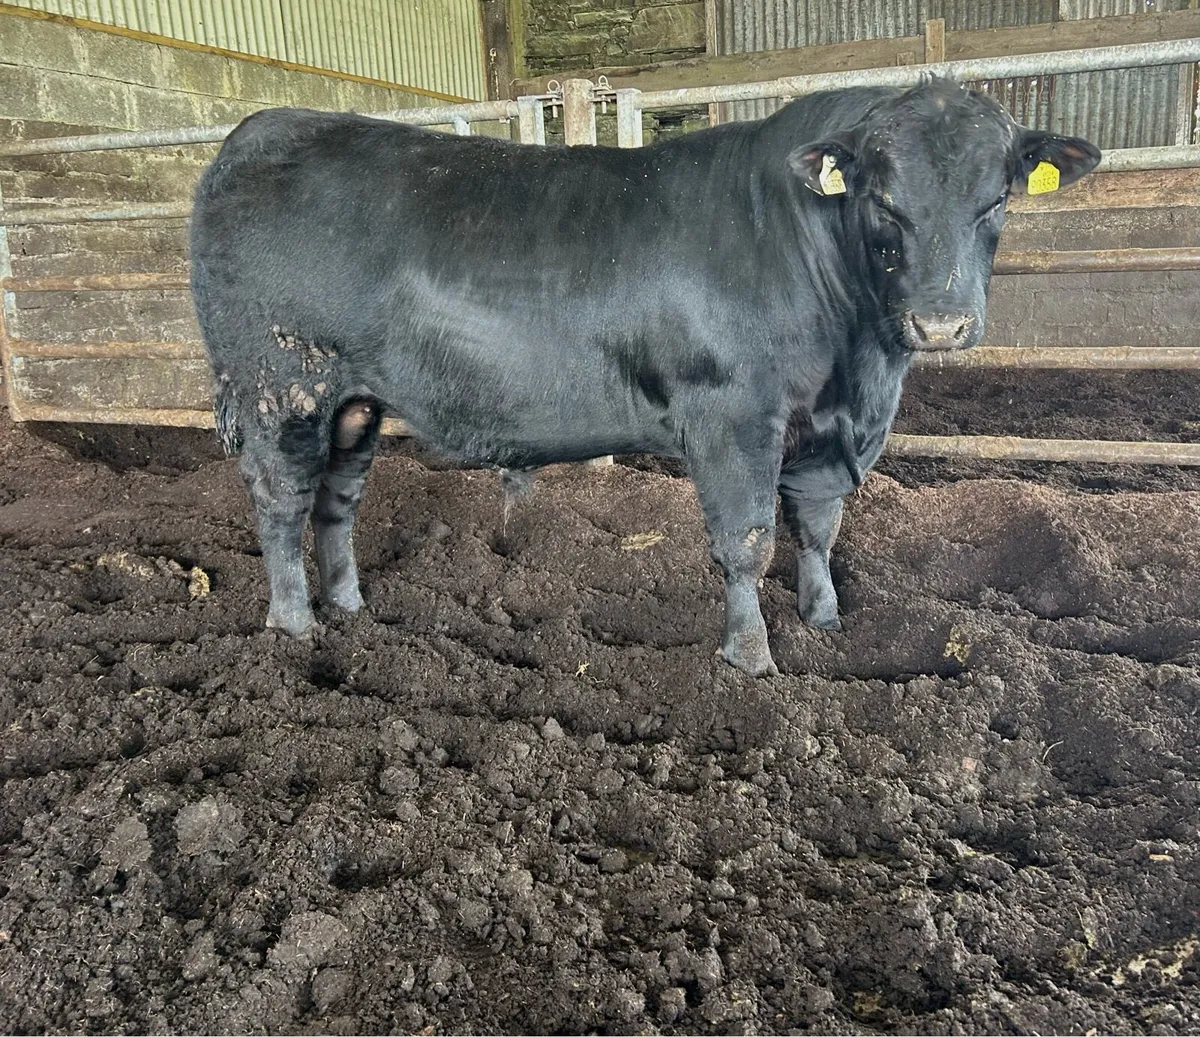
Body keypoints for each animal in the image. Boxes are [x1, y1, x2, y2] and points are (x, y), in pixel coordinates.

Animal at [189, 77, 1100, 676]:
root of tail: (260, 129)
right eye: (882, 198)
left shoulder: (823, 426)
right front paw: (752, 661)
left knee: (338, 500)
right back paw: (295, 626)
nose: (941, 322)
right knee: (280, 501)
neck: (861, 367)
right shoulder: (731, 414)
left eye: (996, 199)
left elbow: (817, 527)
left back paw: (350, 609)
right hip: (280, 383)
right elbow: (747, 539)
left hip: (354, 399)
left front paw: (825, 623)